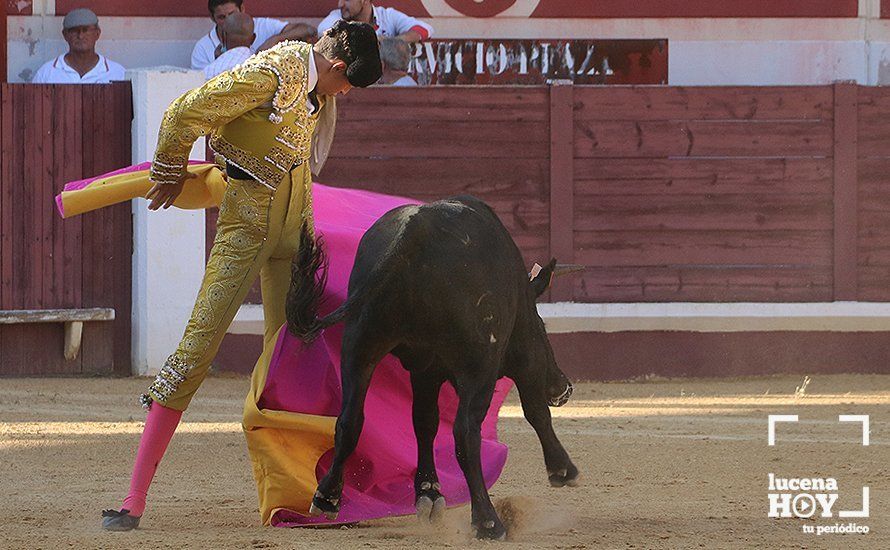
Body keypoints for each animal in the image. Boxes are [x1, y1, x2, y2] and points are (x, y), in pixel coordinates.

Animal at [284, 196, 576, 540]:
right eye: (544, 329)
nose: (564, 387)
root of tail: (414, 234)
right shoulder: (524, 355)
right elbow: (536, 412)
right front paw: (563, 470)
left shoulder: (426, 370)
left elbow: (424, 422)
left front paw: (429, 492)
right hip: (479, 367)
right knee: (466, 433)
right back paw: (488, 521)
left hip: (359, 345)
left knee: (349, 420)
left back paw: (326, 497)